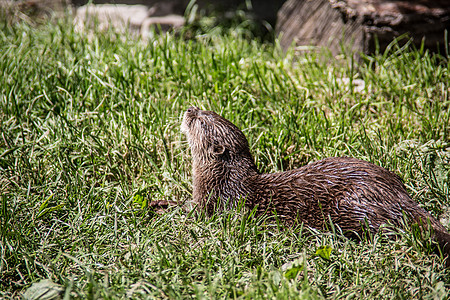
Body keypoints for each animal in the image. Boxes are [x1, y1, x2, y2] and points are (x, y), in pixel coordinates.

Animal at [180, 107, 450, 260]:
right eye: (209, 111)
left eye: (201, 121)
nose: (191, 108)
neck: (223, 181)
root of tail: (393, 191)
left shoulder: (211, 203)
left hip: (353, 205)